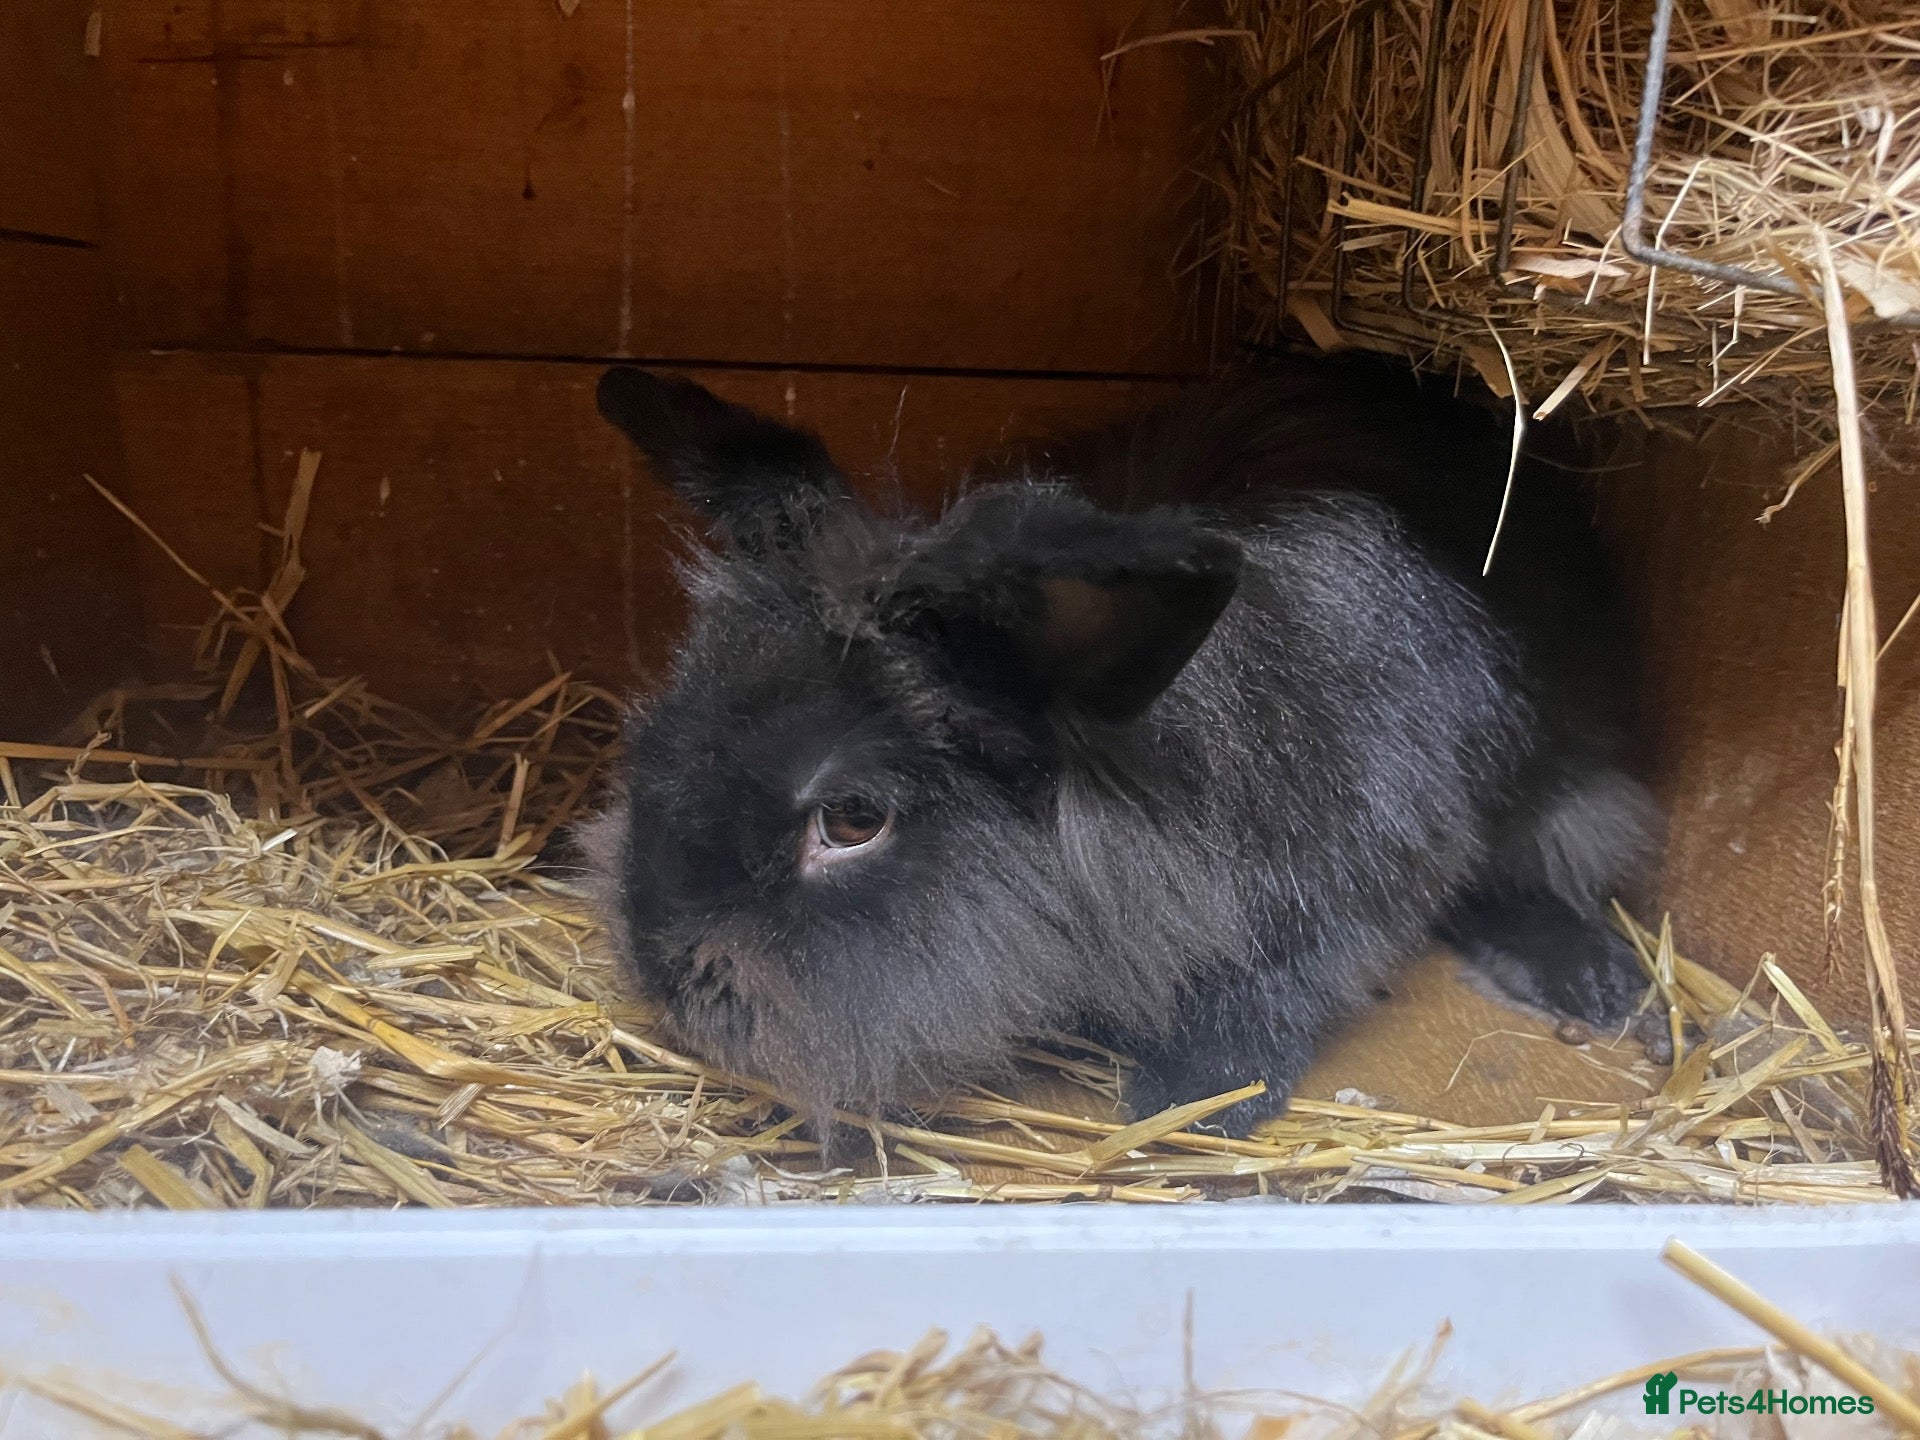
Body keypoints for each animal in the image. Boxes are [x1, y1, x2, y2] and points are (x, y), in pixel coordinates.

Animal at [579, 358, 1660, 1137]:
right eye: (662, 729)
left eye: (851, 819)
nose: (671, 982)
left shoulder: (1348, 891)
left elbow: (1275, 996)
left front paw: (1191, 1103)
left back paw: (1598, 981)